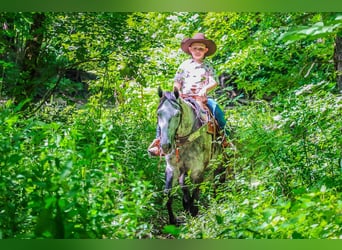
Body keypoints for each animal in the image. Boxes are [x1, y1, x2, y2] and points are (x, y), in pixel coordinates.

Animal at [156, 87, 224, 225]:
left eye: (177, 114)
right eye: (158, 114)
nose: (165, 146)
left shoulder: (197, 170)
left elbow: (195, 192)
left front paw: (193, 212)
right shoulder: (172, 168)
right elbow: (167, 194)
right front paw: (173, 220)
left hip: (219, 162)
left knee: (218, 180)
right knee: (184, 184)